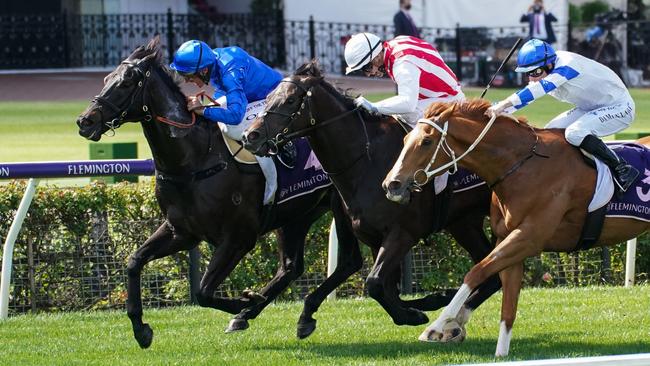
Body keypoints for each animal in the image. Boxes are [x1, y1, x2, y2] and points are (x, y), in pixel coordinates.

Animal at [76, 38, 362, 348]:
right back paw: (256, 314)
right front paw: (140, 328)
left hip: (340, 205)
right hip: (297, 214)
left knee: (348, 262)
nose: (85, 121)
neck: (194, 160)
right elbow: (134, 261)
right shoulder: (181, 231)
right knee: (291, 267)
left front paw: (245, 301)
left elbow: (202, 291)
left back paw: (287, 313)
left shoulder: (239, 238)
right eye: (107, 78)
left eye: (127, 81)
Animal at [243, 60, 502, 340]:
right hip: (463, 224)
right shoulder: (373, 236)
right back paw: (451, 322)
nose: (250, 136)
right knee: (491, 274)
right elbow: (385, 287)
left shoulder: (403, 233)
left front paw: (414, 313)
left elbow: (375, 283)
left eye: (291, 100)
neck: (366, 160)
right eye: (269, 97)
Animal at [384, 98, 648, 356]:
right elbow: (507, 304)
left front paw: (437, 327)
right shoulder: (509, 240)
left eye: (426, 141)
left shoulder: (528, 237)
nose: (392, 184)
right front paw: (499, 352)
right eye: (406, 139)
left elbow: (476, 272)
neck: (522, 165)